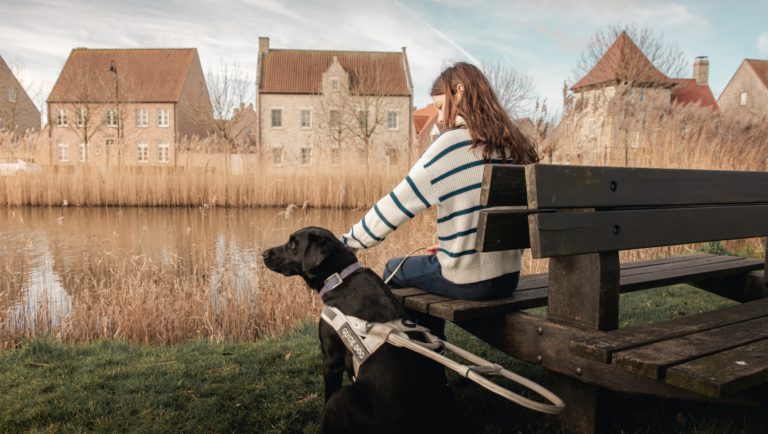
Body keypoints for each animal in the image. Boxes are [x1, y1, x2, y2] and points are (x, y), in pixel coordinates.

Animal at [264, 227, 456, 434]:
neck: (339, 278)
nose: (263, 253)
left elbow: (327, 392)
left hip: (342, 397)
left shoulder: (331, 359)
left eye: (292, 244)